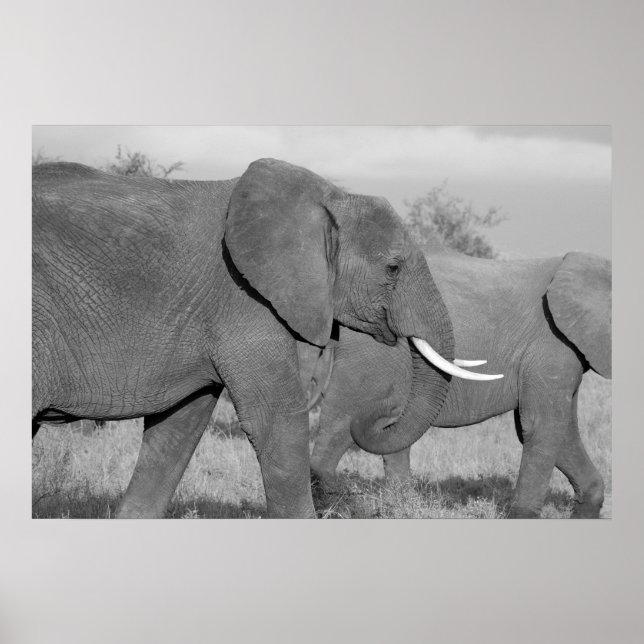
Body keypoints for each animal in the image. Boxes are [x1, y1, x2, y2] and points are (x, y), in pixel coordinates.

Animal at [32, 158, 492, 519]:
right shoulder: (242, 298)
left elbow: (179, 426)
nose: (381, 415)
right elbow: (277, 421)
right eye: (393, 268)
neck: (329, 197)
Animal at [309, 249, 611, 518]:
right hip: (369, 357)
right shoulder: (551, 345)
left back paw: (402, 507)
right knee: (338, 426)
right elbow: (541, 425)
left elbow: (559, 429)